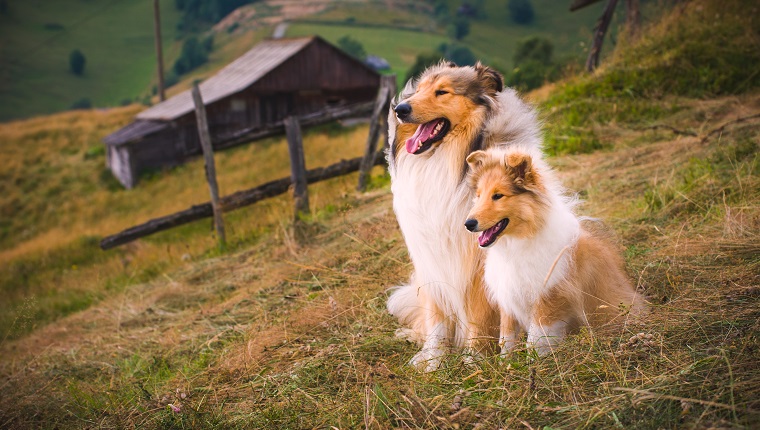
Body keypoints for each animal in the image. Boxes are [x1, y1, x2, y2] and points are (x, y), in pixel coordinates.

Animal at [386, 61, 548, 370]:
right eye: (419, 90)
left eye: (442, 92)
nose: (399, 109)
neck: (448, 160)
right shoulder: (430, 256)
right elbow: (436, 317)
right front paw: (433, 361)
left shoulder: (476, 262)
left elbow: (477, 315)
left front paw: (475, 360)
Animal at [460, 148, 644, 356]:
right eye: (478, 195)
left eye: (498, 195)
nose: (468, 224)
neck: (517, 244)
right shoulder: (508, 300)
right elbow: (506, 342)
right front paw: (506, 363)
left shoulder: (548, 300)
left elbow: (535, 342)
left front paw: (534, 363)